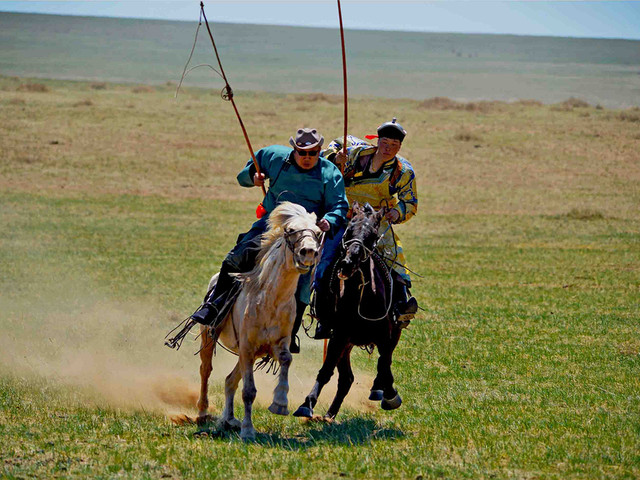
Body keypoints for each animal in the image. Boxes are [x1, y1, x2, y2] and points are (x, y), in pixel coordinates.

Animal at [196, 201, 320, 440]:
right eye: (290, 230)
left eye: (318, 232)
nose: (309, 251)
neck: (270, 299)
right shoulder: (247, 346)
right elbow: (249, 391)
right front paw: (248, 430)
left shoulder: (275, 344)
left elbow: (286, 359)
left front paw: (280, 402)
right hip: (210, 338)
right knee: (206, 370)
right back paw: (203, 413)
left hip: (248, 355)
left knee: (229, 380)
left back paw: (229, 419)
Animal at [294, 202, 408, 420]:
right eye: (349, 230)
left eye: (373, 235)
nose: (347, 264)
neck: (360, 298)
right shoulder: (339, 335)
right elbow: (326, 369)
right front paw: (307, 404)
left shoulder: (385, 335)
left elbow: (384, 363)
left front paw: (389, 394)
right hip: (345, 343)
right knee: (346, 378)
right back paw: (329, 414)